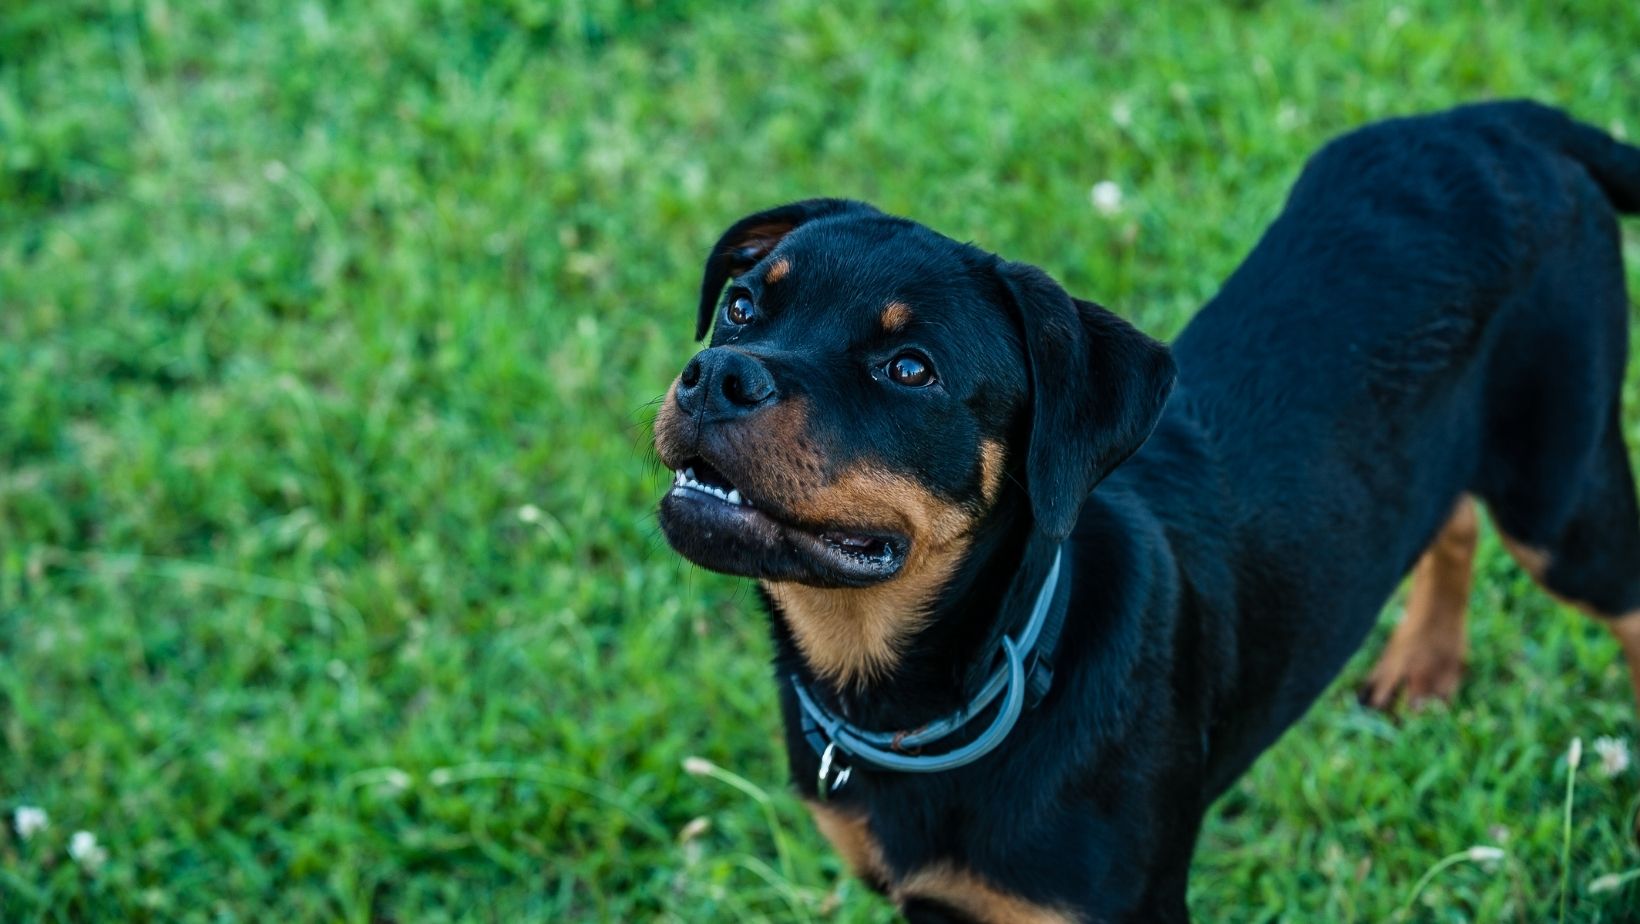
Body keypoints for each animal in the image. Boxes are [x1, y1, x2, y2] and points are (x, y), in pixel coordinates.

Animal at [649, 97, 1640, 919]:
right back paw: (1424, 664)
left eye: (910, 369)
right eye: (742, 306)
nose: (715, 375)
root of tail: (1495, 119)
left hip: (1560, 493)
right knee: (1448, 516)